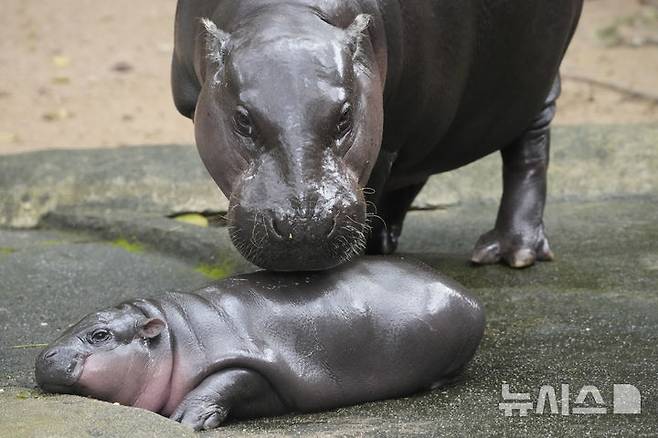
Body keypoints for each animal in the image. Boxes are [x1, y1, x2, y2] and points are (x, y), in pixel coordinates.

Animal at [37, 255, 486, 430]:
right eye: (78, 321)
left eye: (100, 335)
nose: (45, 356)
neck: (174, 336)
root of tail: (470, 295)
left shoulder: (253, 361)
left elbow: (227, 381)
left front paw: (186, 419)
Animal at [172, 0, 580, 272]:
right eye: (242, 120)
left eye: (344, 117)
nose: (304, 225)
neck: (285, 16)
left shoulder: (385, 137)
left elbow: (376, 185)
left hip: (534, 84)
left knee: (529, 152)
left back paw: (512, 252)